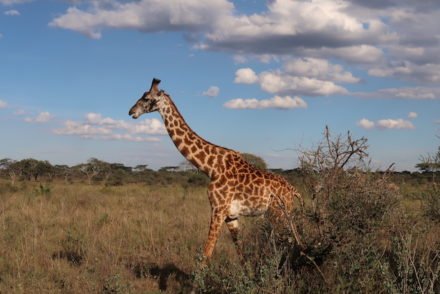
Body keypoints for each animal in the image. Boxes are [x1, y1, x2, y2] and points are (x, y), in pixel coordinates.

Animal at [128, 79, 302, 262]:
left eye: (146, 98)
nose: (131, 111)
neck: (211, 167)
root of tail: (293, 190)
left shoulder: (218, 209)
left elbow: (206, 254)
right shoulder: (231, 215)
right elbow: (241, 254)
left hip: (278, 213)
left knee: (291, 240)